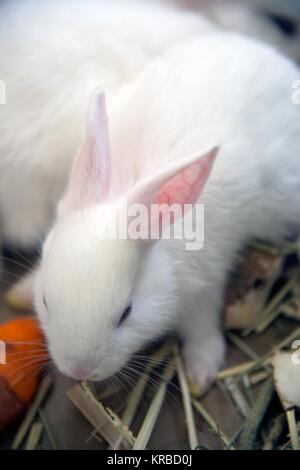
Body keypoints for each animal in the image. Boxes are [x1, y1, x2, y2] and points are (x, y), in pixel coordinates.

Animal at [32, 33, 300, 392]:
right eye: (46, 300)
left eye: (126, 312)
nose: (79, 370)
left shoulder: (204, 289)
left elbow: (203, 329)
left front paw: (201, 373)